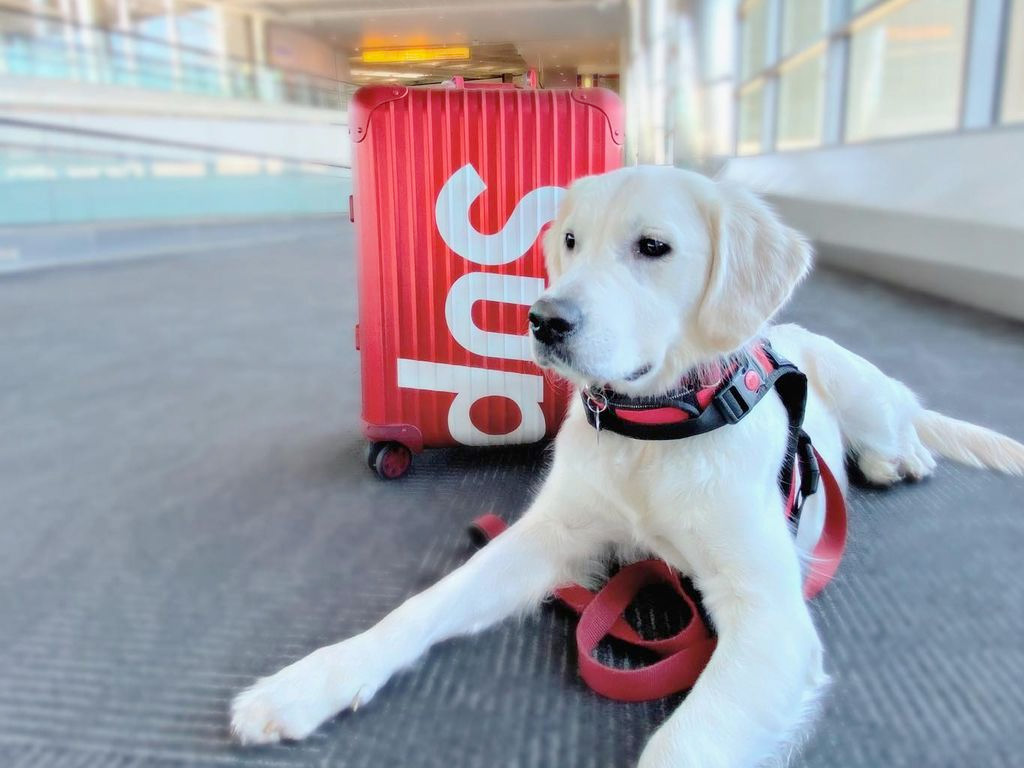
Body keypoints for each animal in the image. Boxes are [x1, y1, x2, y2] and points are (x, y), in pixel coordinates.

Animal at [232, 165, 1024, 765]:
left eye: (653, 246)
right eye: (570, 241)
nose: (544, 321)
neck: (652, 434)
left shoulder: (770, 616)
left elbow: (684, 746)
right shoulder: (549, 539)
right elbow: (422, 607)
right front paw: (309, 681)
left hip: (863, 389)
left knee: (903, 420)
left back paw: (899, 458)